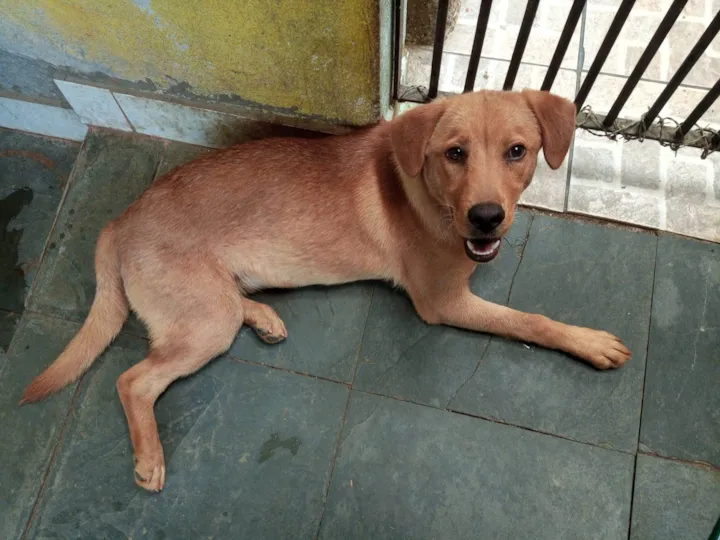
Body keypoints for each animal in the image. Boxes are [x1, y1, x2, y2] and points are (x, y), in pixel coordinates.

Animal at [21, 89, 631, 492]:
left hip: (210, 304)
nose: (487, 218)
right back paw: (149, 458)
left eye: (517, 151)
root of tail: (118, 221)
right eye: (454, 152)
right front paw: (588, 341)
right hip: (203, 324)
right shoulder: (442, 302)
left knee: (224, 308)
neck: (427, 192)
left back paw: (262, 317)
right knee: (133, 381)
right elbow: (531, 320)